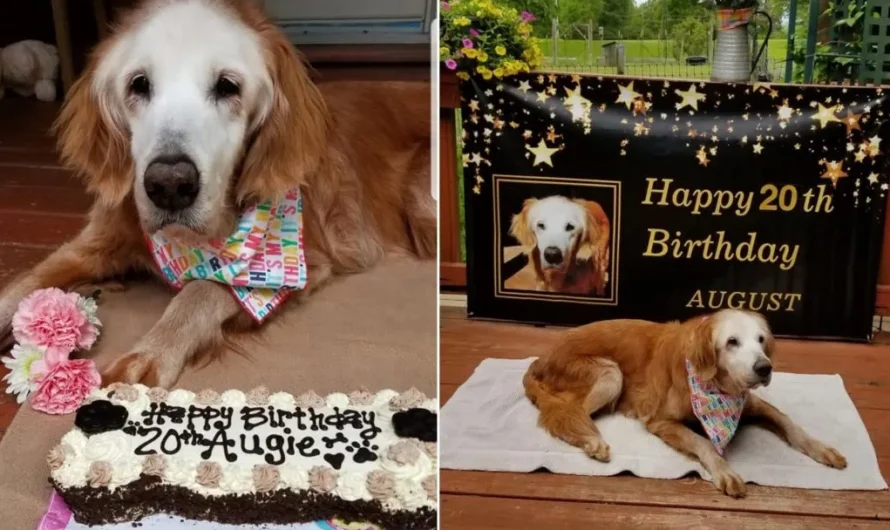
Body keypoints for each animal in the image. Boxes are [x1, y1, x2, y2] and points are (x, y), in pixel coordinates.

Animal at [0, 1, 434, 388]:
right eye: (139, 84)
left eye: (228, 86)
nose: (169, 186)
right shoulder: (98, 239)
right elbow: (28, 278)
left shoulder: (296, 262)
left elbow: (203, 288)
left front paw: (151, 351)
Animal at [524, 310, 844, 496]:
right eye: (732, 342)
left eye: (761, 340)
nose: (765, 368)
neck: (717, 386)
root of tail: (543, 358)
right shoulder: (660, 421)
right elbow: (703, 443)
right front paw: (724, 470)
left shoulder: (752, 404)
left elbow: (790, 423)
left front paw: (822, 449)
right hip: (610, 374)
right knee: (569, 414)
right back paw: (592, 441)